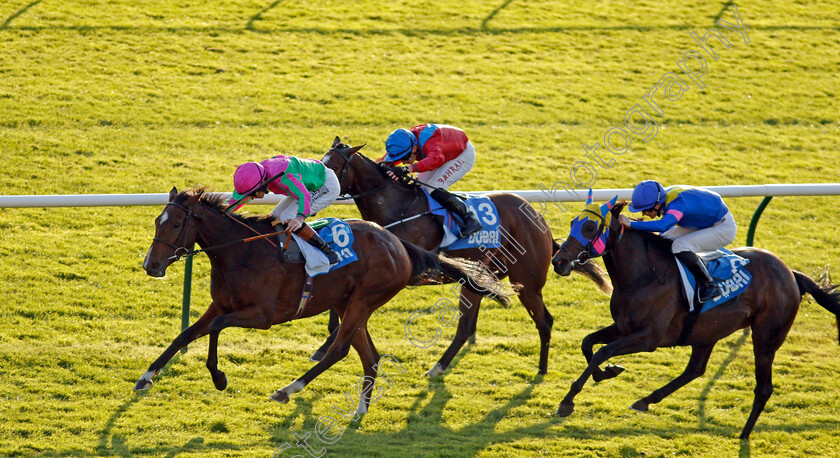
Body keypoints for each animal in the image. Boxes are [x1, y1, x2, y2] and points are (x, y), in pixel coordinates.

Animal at [138, 186, 506, 412]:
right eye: (157, 220)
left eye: (175, 224)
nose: (150, 266)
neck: (241, 252)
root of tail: (398, 244)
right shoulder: (222, 304)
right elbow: (187, 333)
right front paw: (146, 377)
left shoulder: (262, 316)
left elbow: (214, 328)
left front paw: (219, 377)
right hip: (347, 302)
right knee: (370, 356)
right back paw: (360, 410)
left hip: (364, 299)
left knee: (339, 349)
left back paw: (288, 389)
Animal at [318, 137, 608, 376]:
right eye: (321, 163)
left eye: (334, 168)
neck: (396, 206)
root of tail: (540, 221)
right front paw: (325, 342)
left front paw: (328, 344)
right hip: (479, 278)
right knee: (467, 326)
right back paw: (439, 366)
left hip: (527, 282)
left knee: (544, 320)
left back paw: (541, 370)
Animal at [552, 197, 840, 440]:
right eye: (573, 223)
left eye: (590, 227)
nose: (559, 261)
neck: (645, 274)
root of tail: (791, 273)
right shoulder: (623, 326)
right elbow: (588, 343)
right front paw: (606, 373)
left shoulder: (649, 337)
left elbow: (603, 351)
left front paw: (567, 402)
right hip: (707, 331)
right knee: (695, 369)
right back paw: (645, 401)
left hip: (767, 336)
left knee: (763, 388)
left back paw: (744, 434)